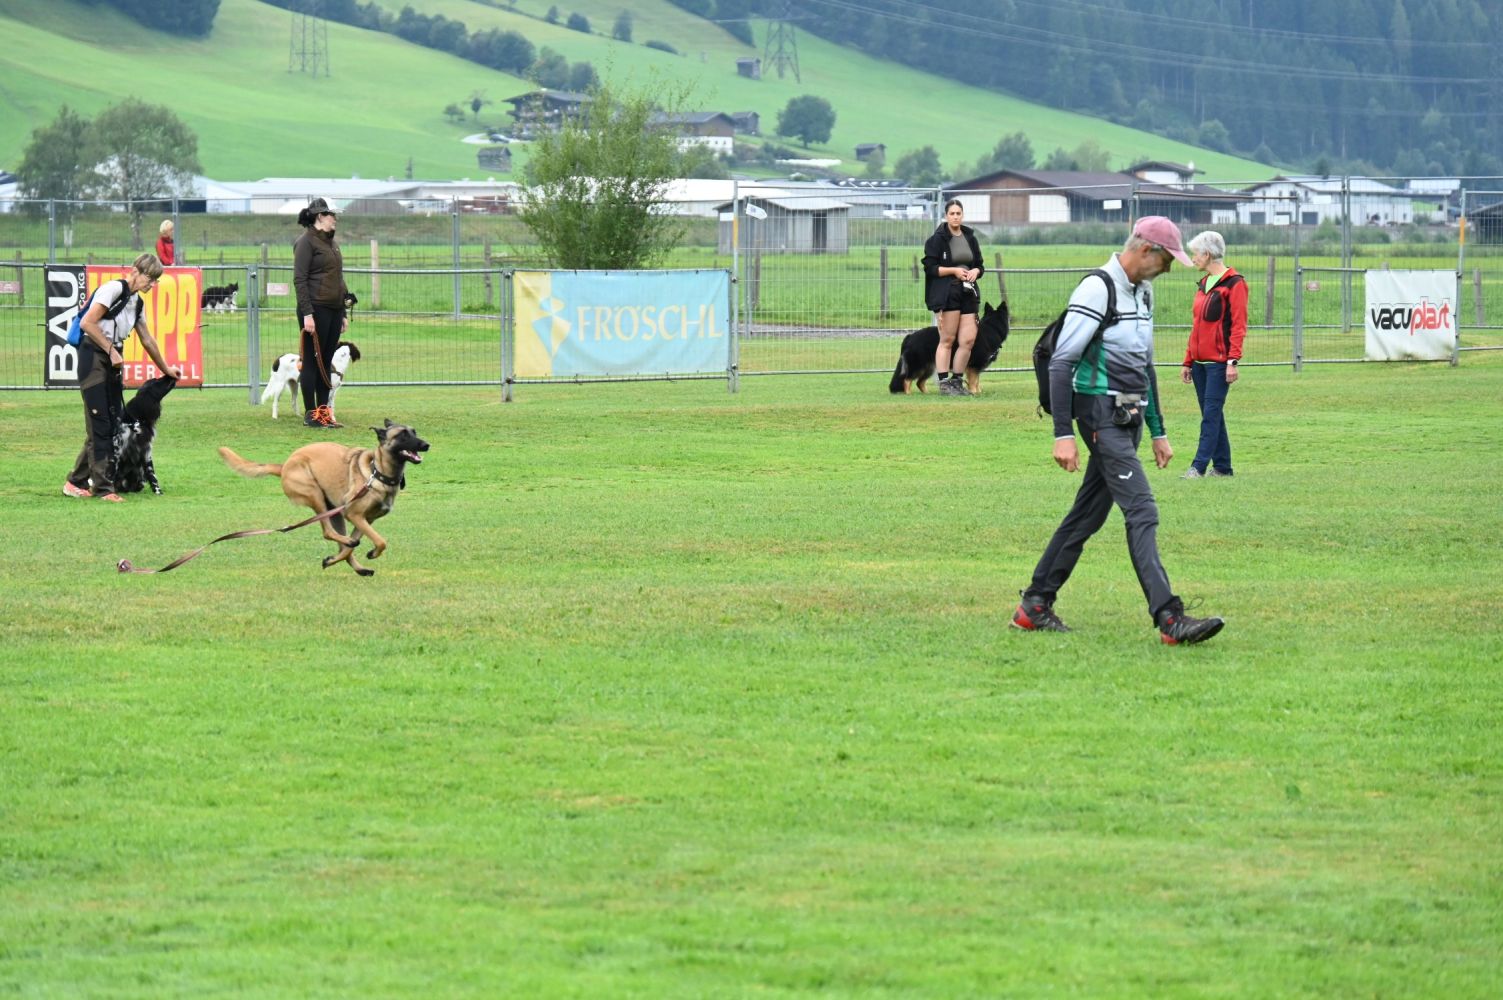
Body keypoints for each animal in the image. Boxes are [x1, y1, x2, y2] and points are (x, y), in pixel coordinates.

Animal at [218, 419, 429, 576]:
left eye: (414, 431)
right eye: (403, 435)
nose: (427, 445)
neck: (376, 472)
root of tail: (284, 465)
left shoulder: (365, 520)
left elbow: (351, 548)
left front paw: (334, 560)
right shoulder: (354, 514)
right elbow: (380, 541)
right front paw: (373, 552)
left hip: (333, 511)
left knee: (342, 543)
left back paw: (357, 566)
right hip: (315, 495)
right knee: (328, 532)